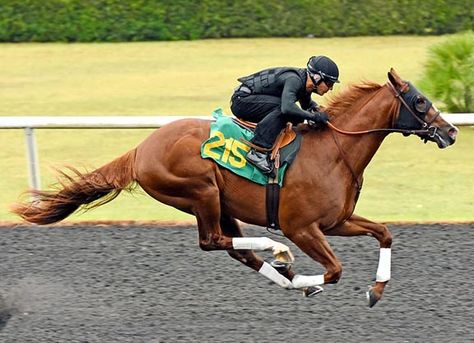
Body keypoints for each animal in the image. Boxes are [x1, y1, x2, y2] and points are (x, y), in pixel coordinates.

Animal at [13, 68, 460, 308]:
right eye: (420, 101)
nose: (452, 131)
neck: (335, 151)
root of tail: (140, 149)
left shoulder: (337, 221)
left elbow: (384, 233)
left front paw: (376, 289)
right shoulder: (303, 227)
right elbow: (334, 270)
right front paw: (305, 280)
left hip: (218, 202)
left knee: (232, 248)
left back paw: (281, 265)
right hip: (201, 192)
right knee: (213, 241)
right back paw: (280, 254)